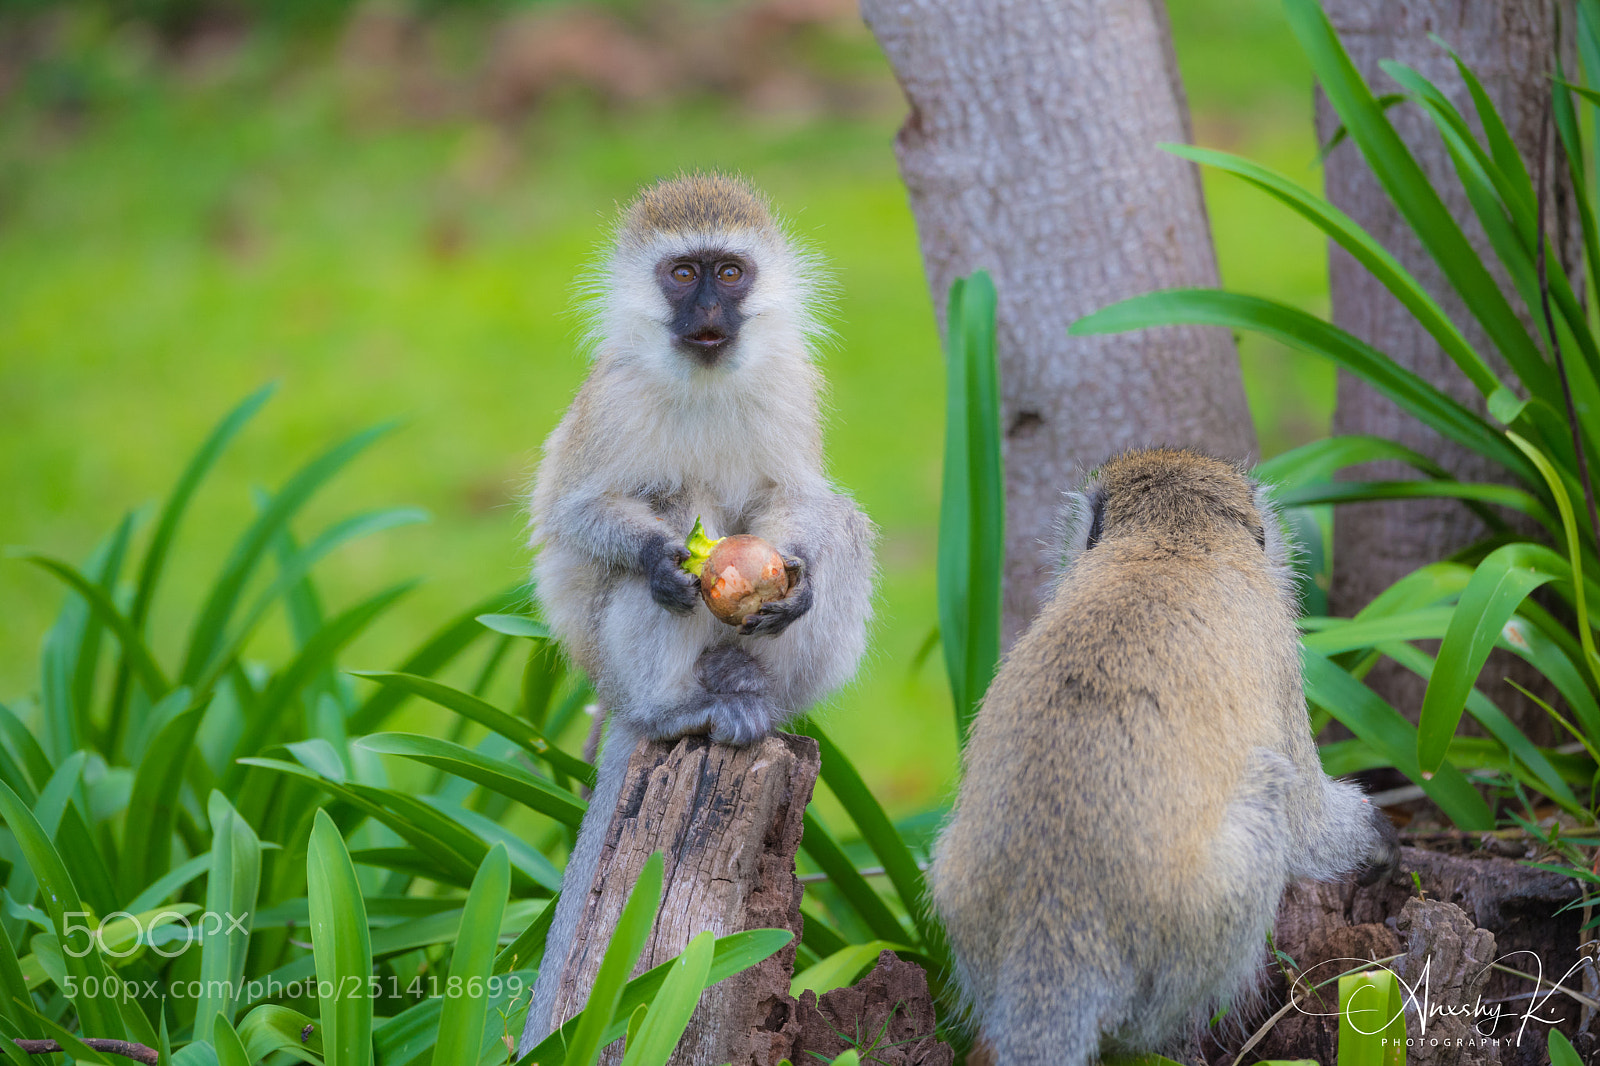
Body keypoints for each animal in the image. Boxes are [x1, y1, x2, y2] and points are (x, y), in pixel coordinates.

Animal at [518, 172, 874, 1050]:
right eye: (683, 274)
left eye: (730, 272)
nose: (708, 308)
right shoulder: (613, 400)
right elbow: (576, 515)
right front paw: (657, 558)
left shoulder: (791, 384)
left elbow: (795, 498)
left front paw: (799, 579)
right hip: (619, 669)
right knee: (667, 516)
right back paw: (677, 707)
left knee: (840, 523)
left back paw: (759, 701)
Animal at [929, 447, 1399, 1066]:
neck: (1174, 538)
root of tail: (1053, 909)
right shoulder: (1280, 651)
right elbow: (1309, 827)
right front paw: (1375, 837)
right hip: (1197, 928)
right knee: (1271, 785)